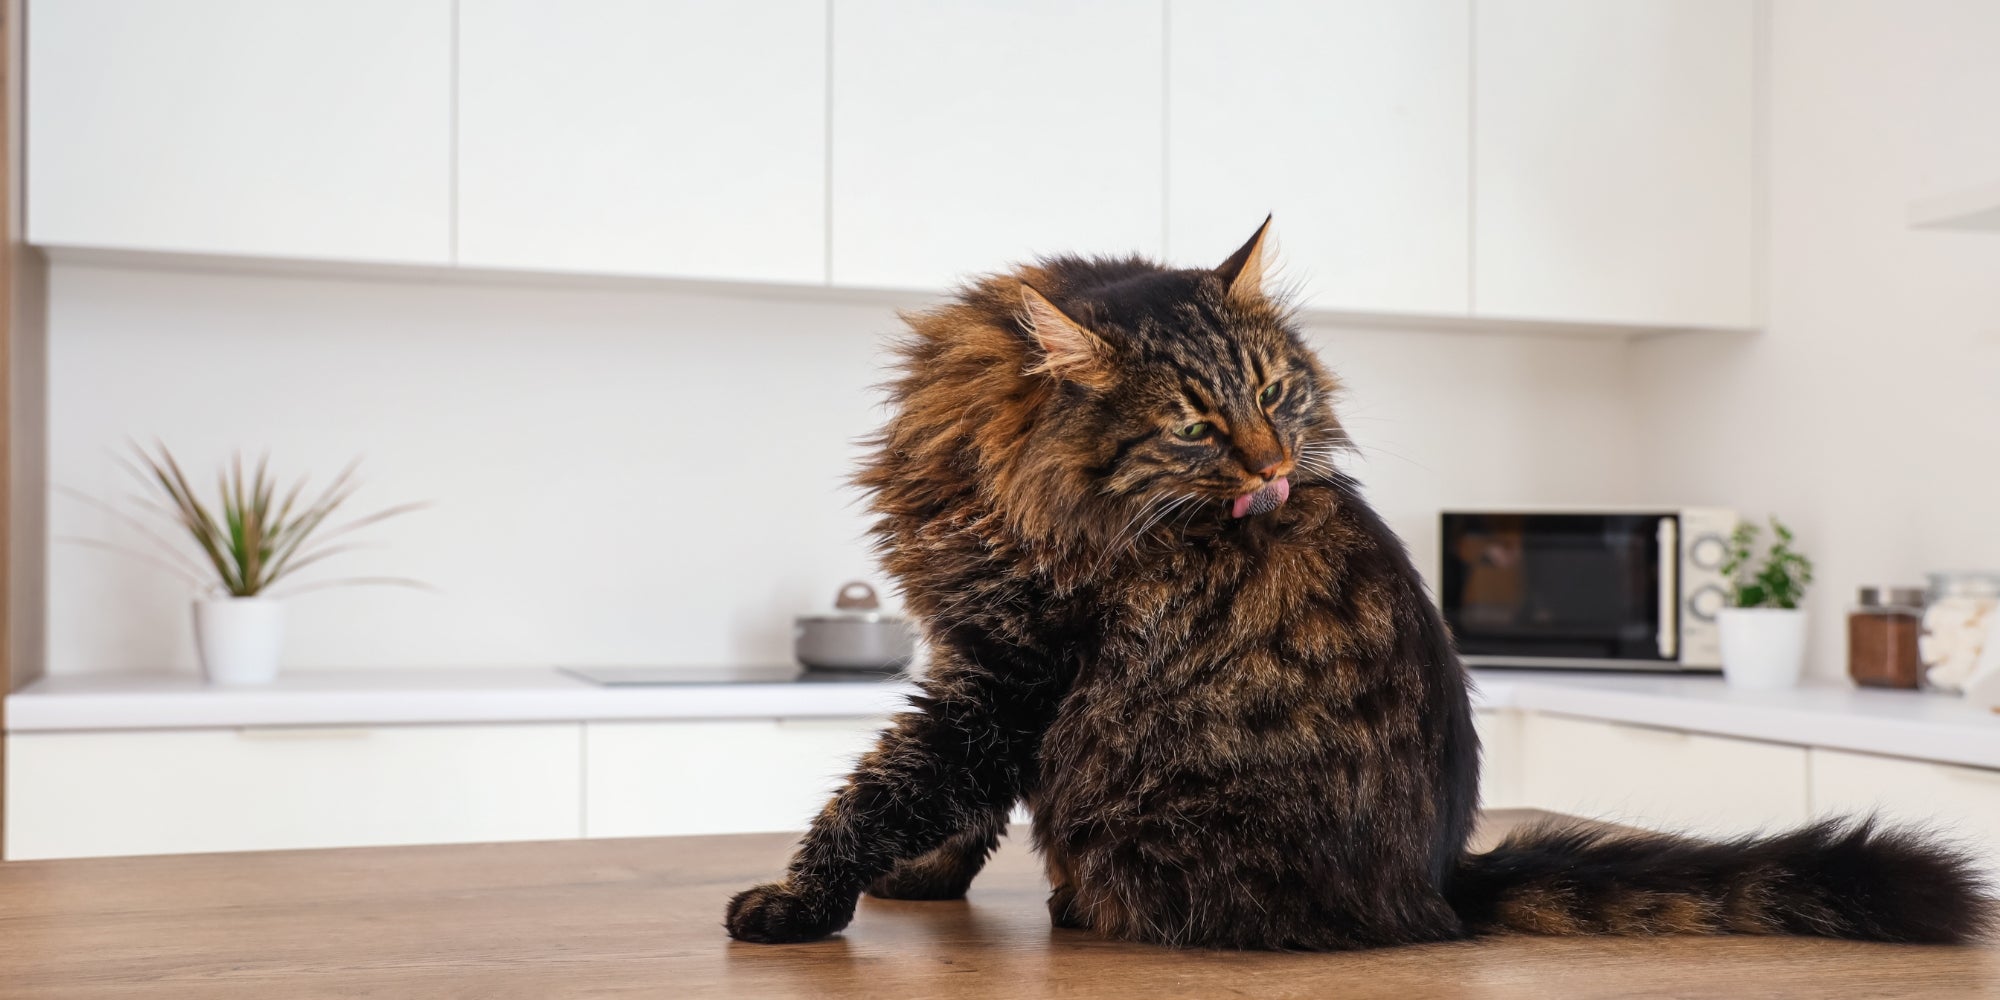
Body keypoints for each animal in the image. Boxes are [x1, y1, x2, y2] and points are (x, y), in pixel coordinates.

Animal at [728, 221, 1992, 952]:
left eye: (1273, 392)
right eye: (1193, 426)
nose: (1276, 470)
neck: (993, 469)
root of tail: (1442, 881)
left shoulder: (1008, 672)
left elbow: (881, 791)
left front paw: (797, 903)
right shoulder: (972, 648)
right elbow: (953, 807)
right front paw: (920, 882)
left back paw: (1080, 906)